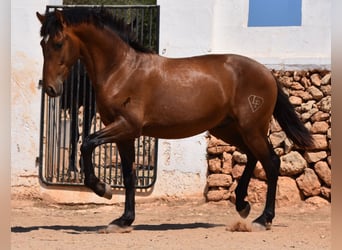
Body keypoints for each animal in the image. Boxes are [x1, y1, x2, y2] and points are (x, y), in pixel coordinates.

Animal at [36, 6, 312, 231]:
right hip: (230, 129)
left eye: (58, 43)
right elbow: (128, 175)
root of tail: (266, 72)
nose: (50, 88)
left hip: (251, 129)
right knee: (254, 157)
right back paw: (243, 204)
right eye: (42, 44)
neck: (121, 70)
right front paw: (124, 220)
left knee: (272, 163)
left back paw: (263, 219)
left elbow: (87, 143)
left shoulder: (126, 127)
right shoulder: (124, 135)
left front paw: (103, 189)